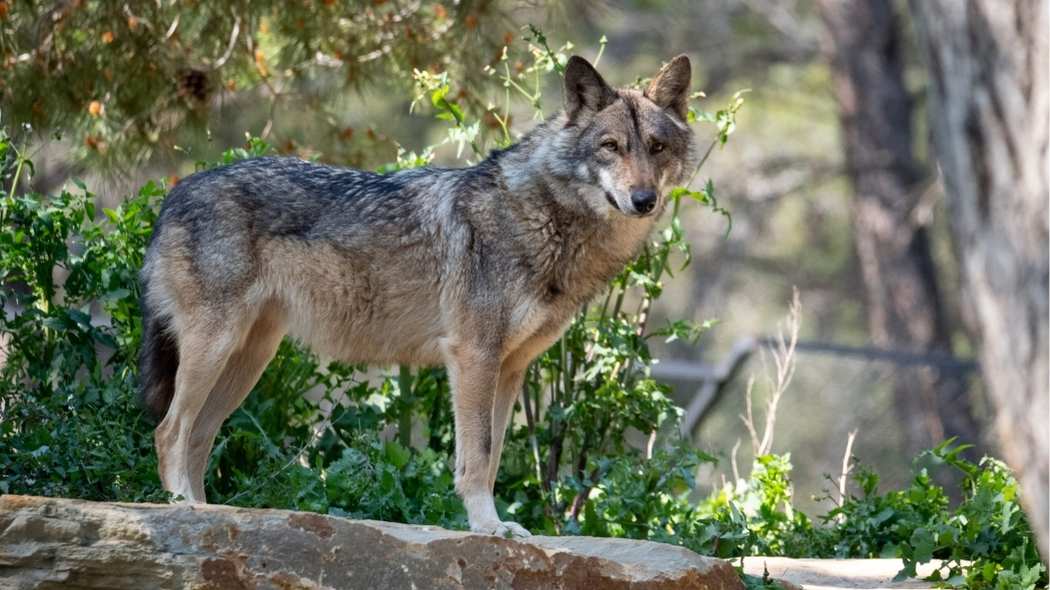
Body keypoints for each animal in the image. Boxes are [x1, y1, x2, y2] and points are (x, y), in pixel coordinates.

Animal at [138, 54, 697, 537]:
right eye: (610, 146)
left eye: (656, 147)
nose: (643, 200)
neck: (542, 217)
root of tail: (173, 194)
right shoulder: (473, 356)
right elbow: (477, 457)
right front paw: (489, 527)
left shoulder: (510, 368)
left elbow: (492, 457)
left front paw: (494, 525)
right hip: (216, 348)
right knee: (169, 431)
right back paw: (182, 509)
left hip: (247, 360)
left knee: (197, 436)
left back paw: (212, 516)